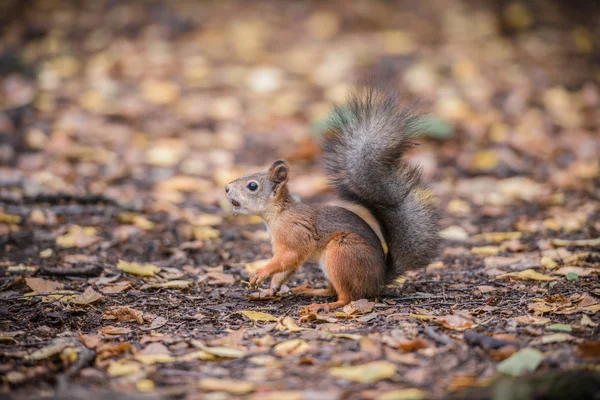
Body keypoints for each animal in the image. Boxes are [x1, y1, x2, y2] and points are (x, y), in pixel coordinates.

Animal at [226, 86, 440, 312]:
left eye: (252, 186)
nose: (226, 188)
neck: (279, 214)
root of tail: (378, 280)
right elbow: (285, 271)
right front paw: (269, 291)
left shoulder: (295, 236)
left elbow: (288, 259)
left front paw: (261, 272)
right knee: (332, 290)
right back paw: (310, 291)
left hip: (342, 253)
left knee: (347, 298)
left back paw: (323, 307)